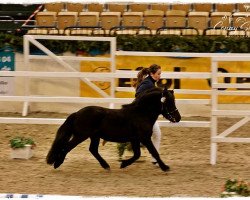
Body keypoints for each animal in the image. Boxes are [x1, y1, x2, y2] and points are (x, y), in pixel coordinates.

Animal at [46, 87, 180, 172]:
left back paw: (106, 166)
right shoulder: (144, 138)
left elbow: (137, 154)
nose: (178, 118)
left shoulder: (135, 139)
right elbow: (154, 152)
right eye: (169, 102)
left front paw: (123, 164)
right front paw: (165, 167)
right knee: (67, 147)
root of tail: (77, 113)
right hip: (81, 136)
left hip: (94, 136)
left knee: (93, 150)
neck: (141, 113)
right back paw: (57, 163)